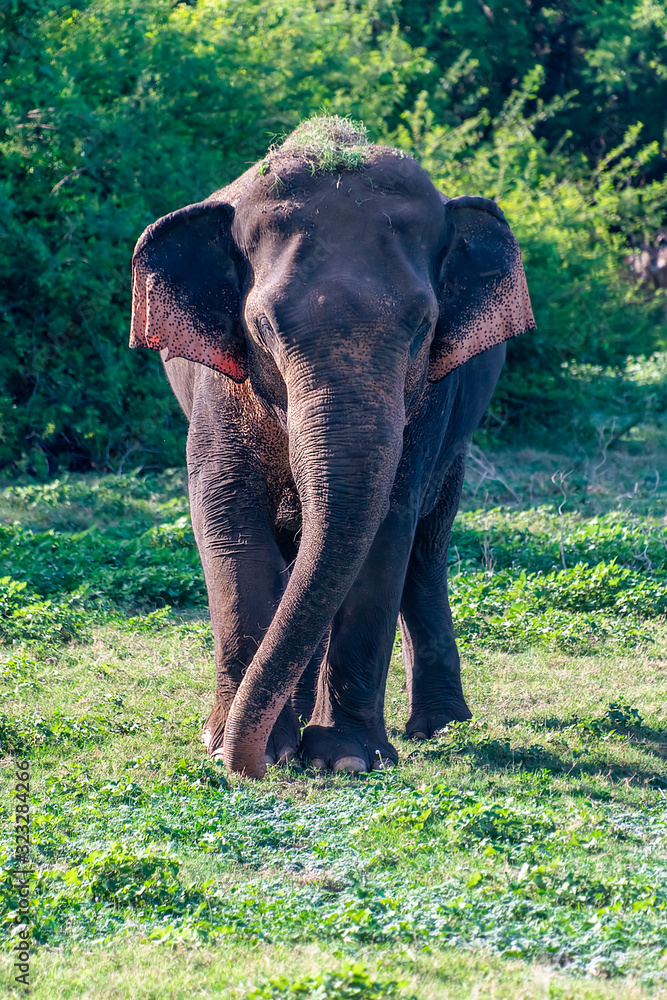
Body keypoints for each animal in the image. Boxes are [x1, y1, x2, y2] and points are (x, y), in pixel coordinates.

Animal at [130, 116, 535, 779]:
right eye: (264, 326)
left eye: (423, 325)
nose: (245, 767)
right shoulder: (222, 386)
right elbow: (228, 518)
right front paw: (238, 746)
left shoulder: (428, 405)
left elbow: (385, 529)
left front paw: (345, 760)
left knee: (425, 547)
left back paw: (438, 727)